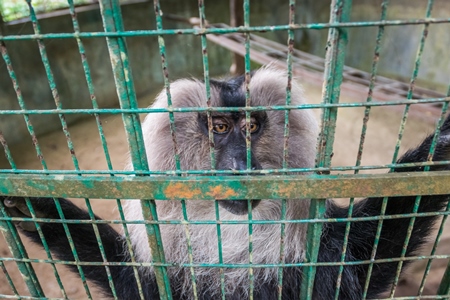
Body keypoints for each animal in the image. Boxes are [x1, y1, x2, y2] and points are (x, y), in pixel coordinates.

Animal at [0, 66, 450, 300]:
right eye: (218, 127)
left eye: (251, 127)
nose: (239, 164)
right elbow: (127, 279)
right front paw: (35, 205)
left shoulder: (323, 254)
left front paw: (442, 144)